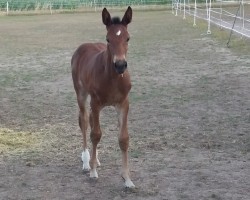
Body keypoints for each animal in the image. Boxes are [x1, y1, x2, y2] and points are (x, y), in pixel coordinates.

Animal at [71, 6, 135, 188]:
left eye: (128, 38)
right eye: (108, 39)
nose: (120, 65)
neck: (112, 79)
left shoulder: (123, 103)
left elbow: (123, 139)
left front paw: (127, 179)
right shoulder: (96, 103)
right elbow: (95, 134)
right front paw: (93, 171)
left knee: (91, 122)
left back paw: (96, 159)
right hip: (82, 95)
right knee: (85, 122)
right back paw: (87, 161)